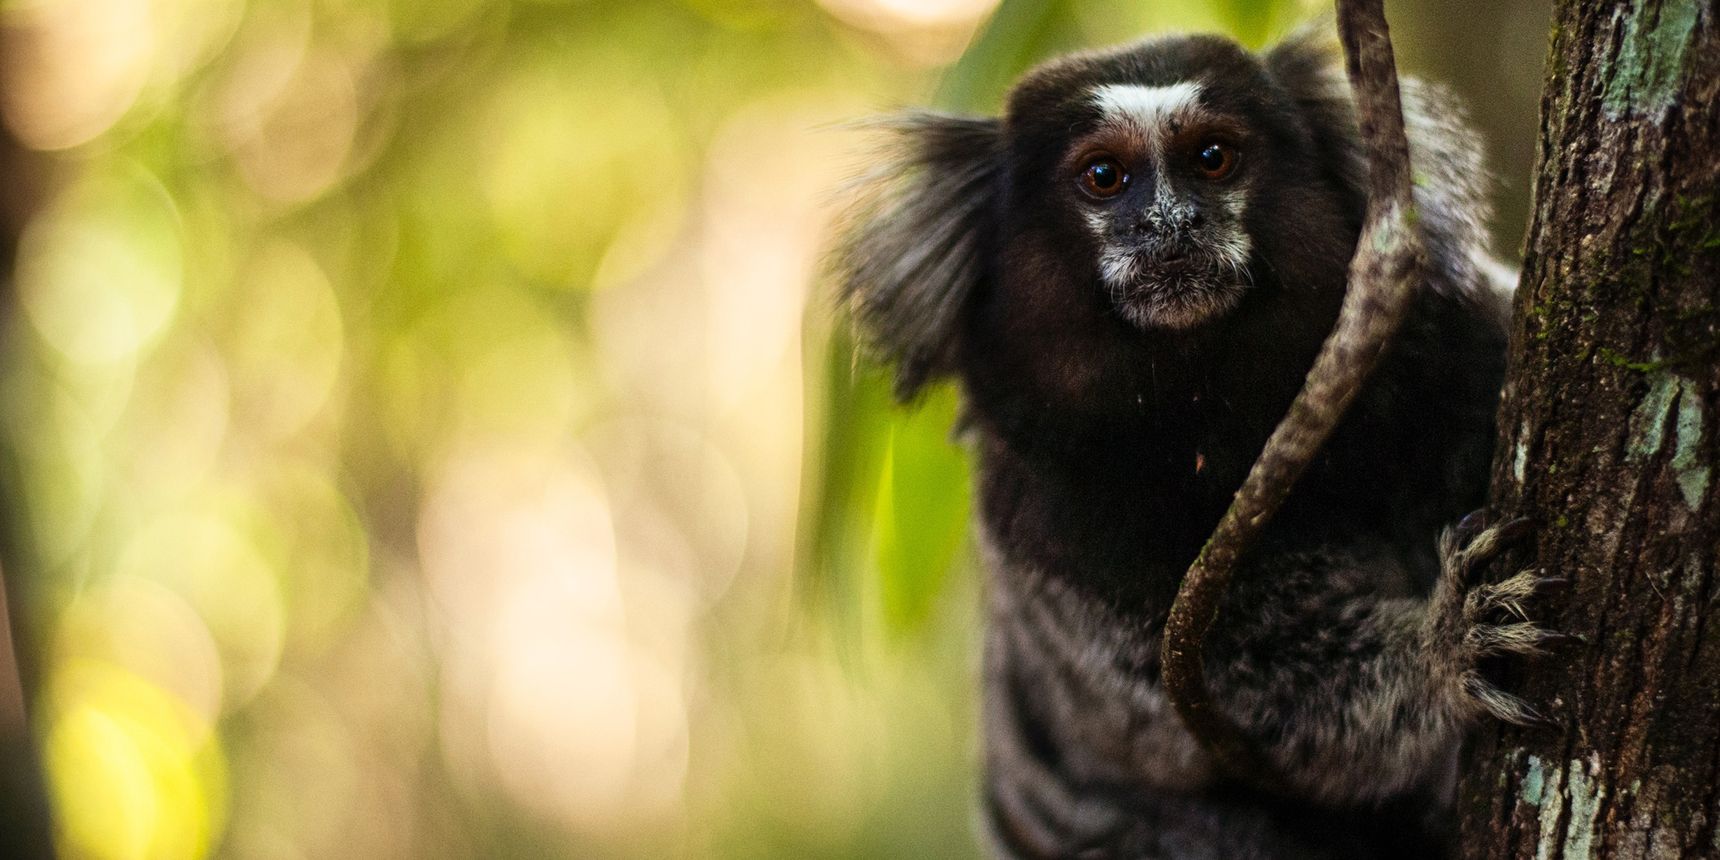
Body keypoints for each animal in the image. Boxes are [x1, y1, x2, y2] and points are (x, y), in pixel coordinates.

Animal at [832, 24, 1558, 860]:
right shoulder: (1046, 527)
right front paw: (1444, 647)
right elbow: (1231, 708)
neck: (1220, 413)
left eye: (1213, 157)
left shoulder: (1446, 335)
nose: (1172, 223)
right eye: (1104, 176)